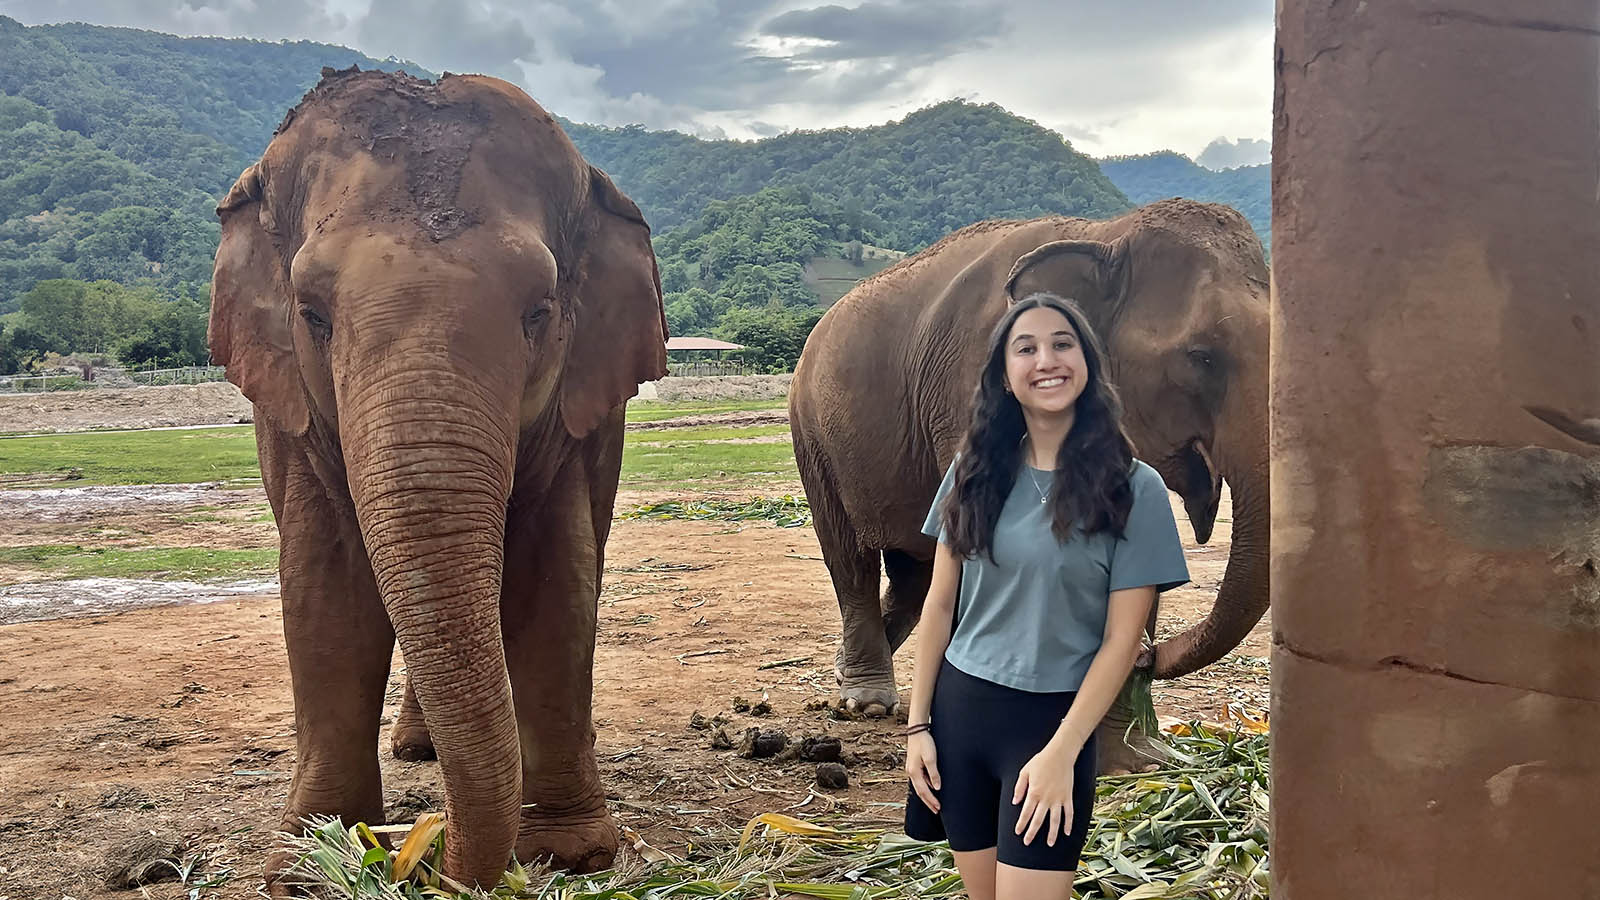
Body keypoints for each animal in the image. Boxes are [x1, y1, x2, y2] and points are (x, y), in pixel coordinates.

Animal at [208, 66, 668, 883]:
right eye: (312, 314)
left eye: (540, 311)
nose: (428, 851)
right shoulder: (295, 414)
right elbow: (325, 588)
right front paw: (315, 852)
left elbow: (555, 579)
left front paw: (569, 852)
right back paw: (417, 749)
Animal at [790, 197, 1273, 771]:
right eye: (1201, 356)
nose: (1146, 656)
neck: (1105, 234)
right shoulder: (971, 394)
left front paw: (1139, 762)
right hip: (812, 436)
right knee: (850, 559)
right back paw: (866, 701)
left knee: (915, 574)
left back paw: (845, 672)